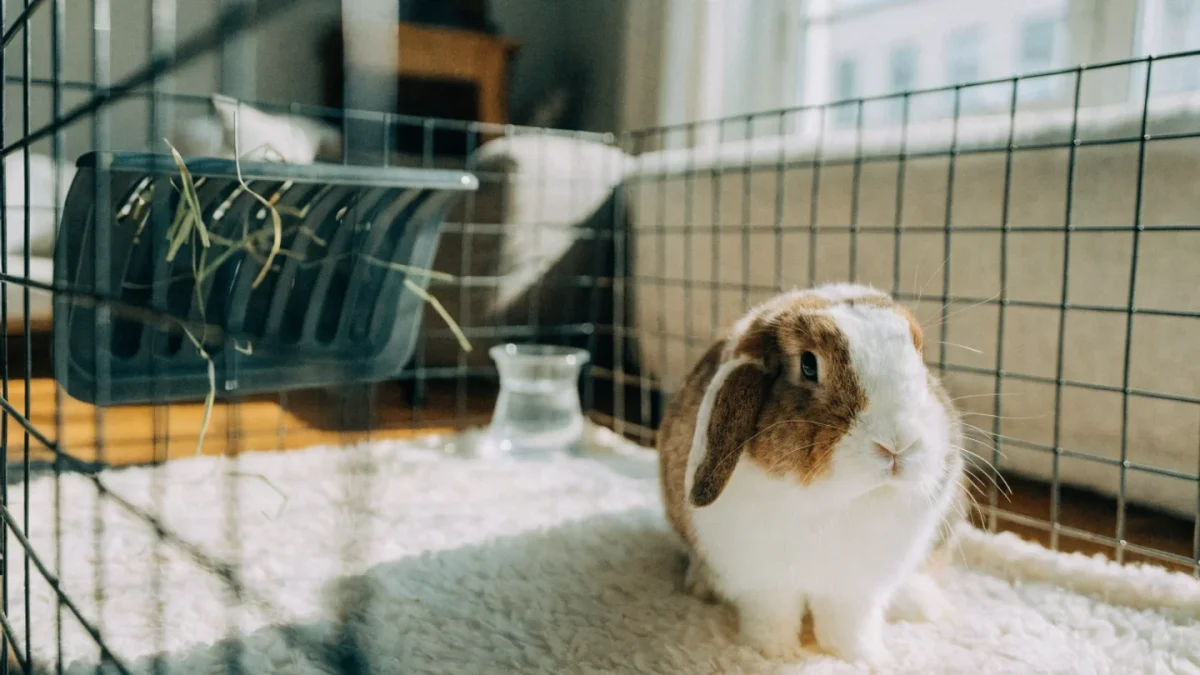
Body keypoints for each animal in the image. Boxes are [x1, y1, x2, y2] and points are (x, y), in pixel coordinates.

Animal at [657, 283, 968, 665]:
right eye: (808, 365)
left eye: (919, 353)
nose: (898, 443)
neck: (834, 500)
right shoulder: (763, 581)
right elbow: (773, 618)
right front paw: (775, 655)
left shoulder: (857, 588)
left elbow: (850, 626)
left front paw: (867, 659)